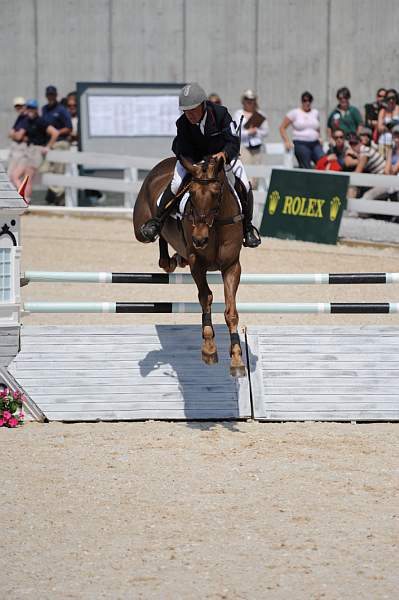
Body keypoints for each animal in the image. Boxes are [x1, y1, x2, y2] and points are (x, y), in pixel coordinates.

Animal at [134, 157, 247, 378]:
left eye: (216, 193)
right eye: (192, 194)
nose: (199, 239)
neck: (215, 226)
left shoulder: (232, 266)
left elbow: (231, 312)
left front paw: (237, 358)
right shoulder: (197, 264)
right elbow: (206, 297)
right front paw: (209, 348)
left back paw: (177, 258)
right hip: (140, 230)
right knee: (158, 238)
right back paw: (161, 242)